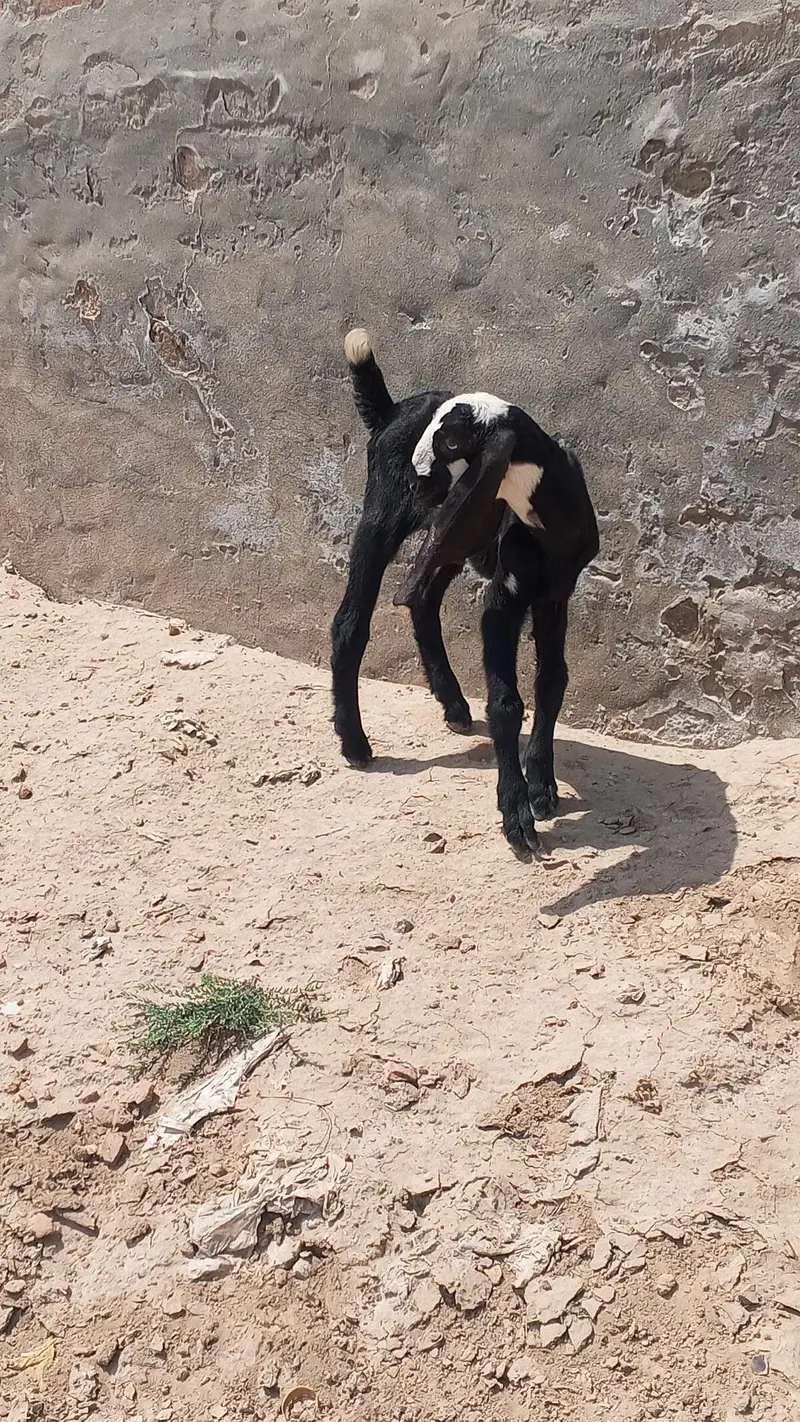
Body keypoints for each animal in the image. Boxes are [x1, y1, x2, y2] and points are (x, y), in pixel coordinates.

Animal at [331, 329, 599, 857]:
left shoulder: (555, 594)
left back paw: (452, 703)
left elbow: (552, 680)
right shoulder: (505, 599)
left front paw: (543, 787)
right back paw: (355, 742)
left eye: (452, 441)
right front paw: (516, 814)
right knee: (352, 622)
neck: (548, 524)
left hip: (453, 535)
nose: (416, 479)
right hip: (388, 519)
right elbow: (507, 701)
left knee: (422, 598)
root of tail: (392, 409)